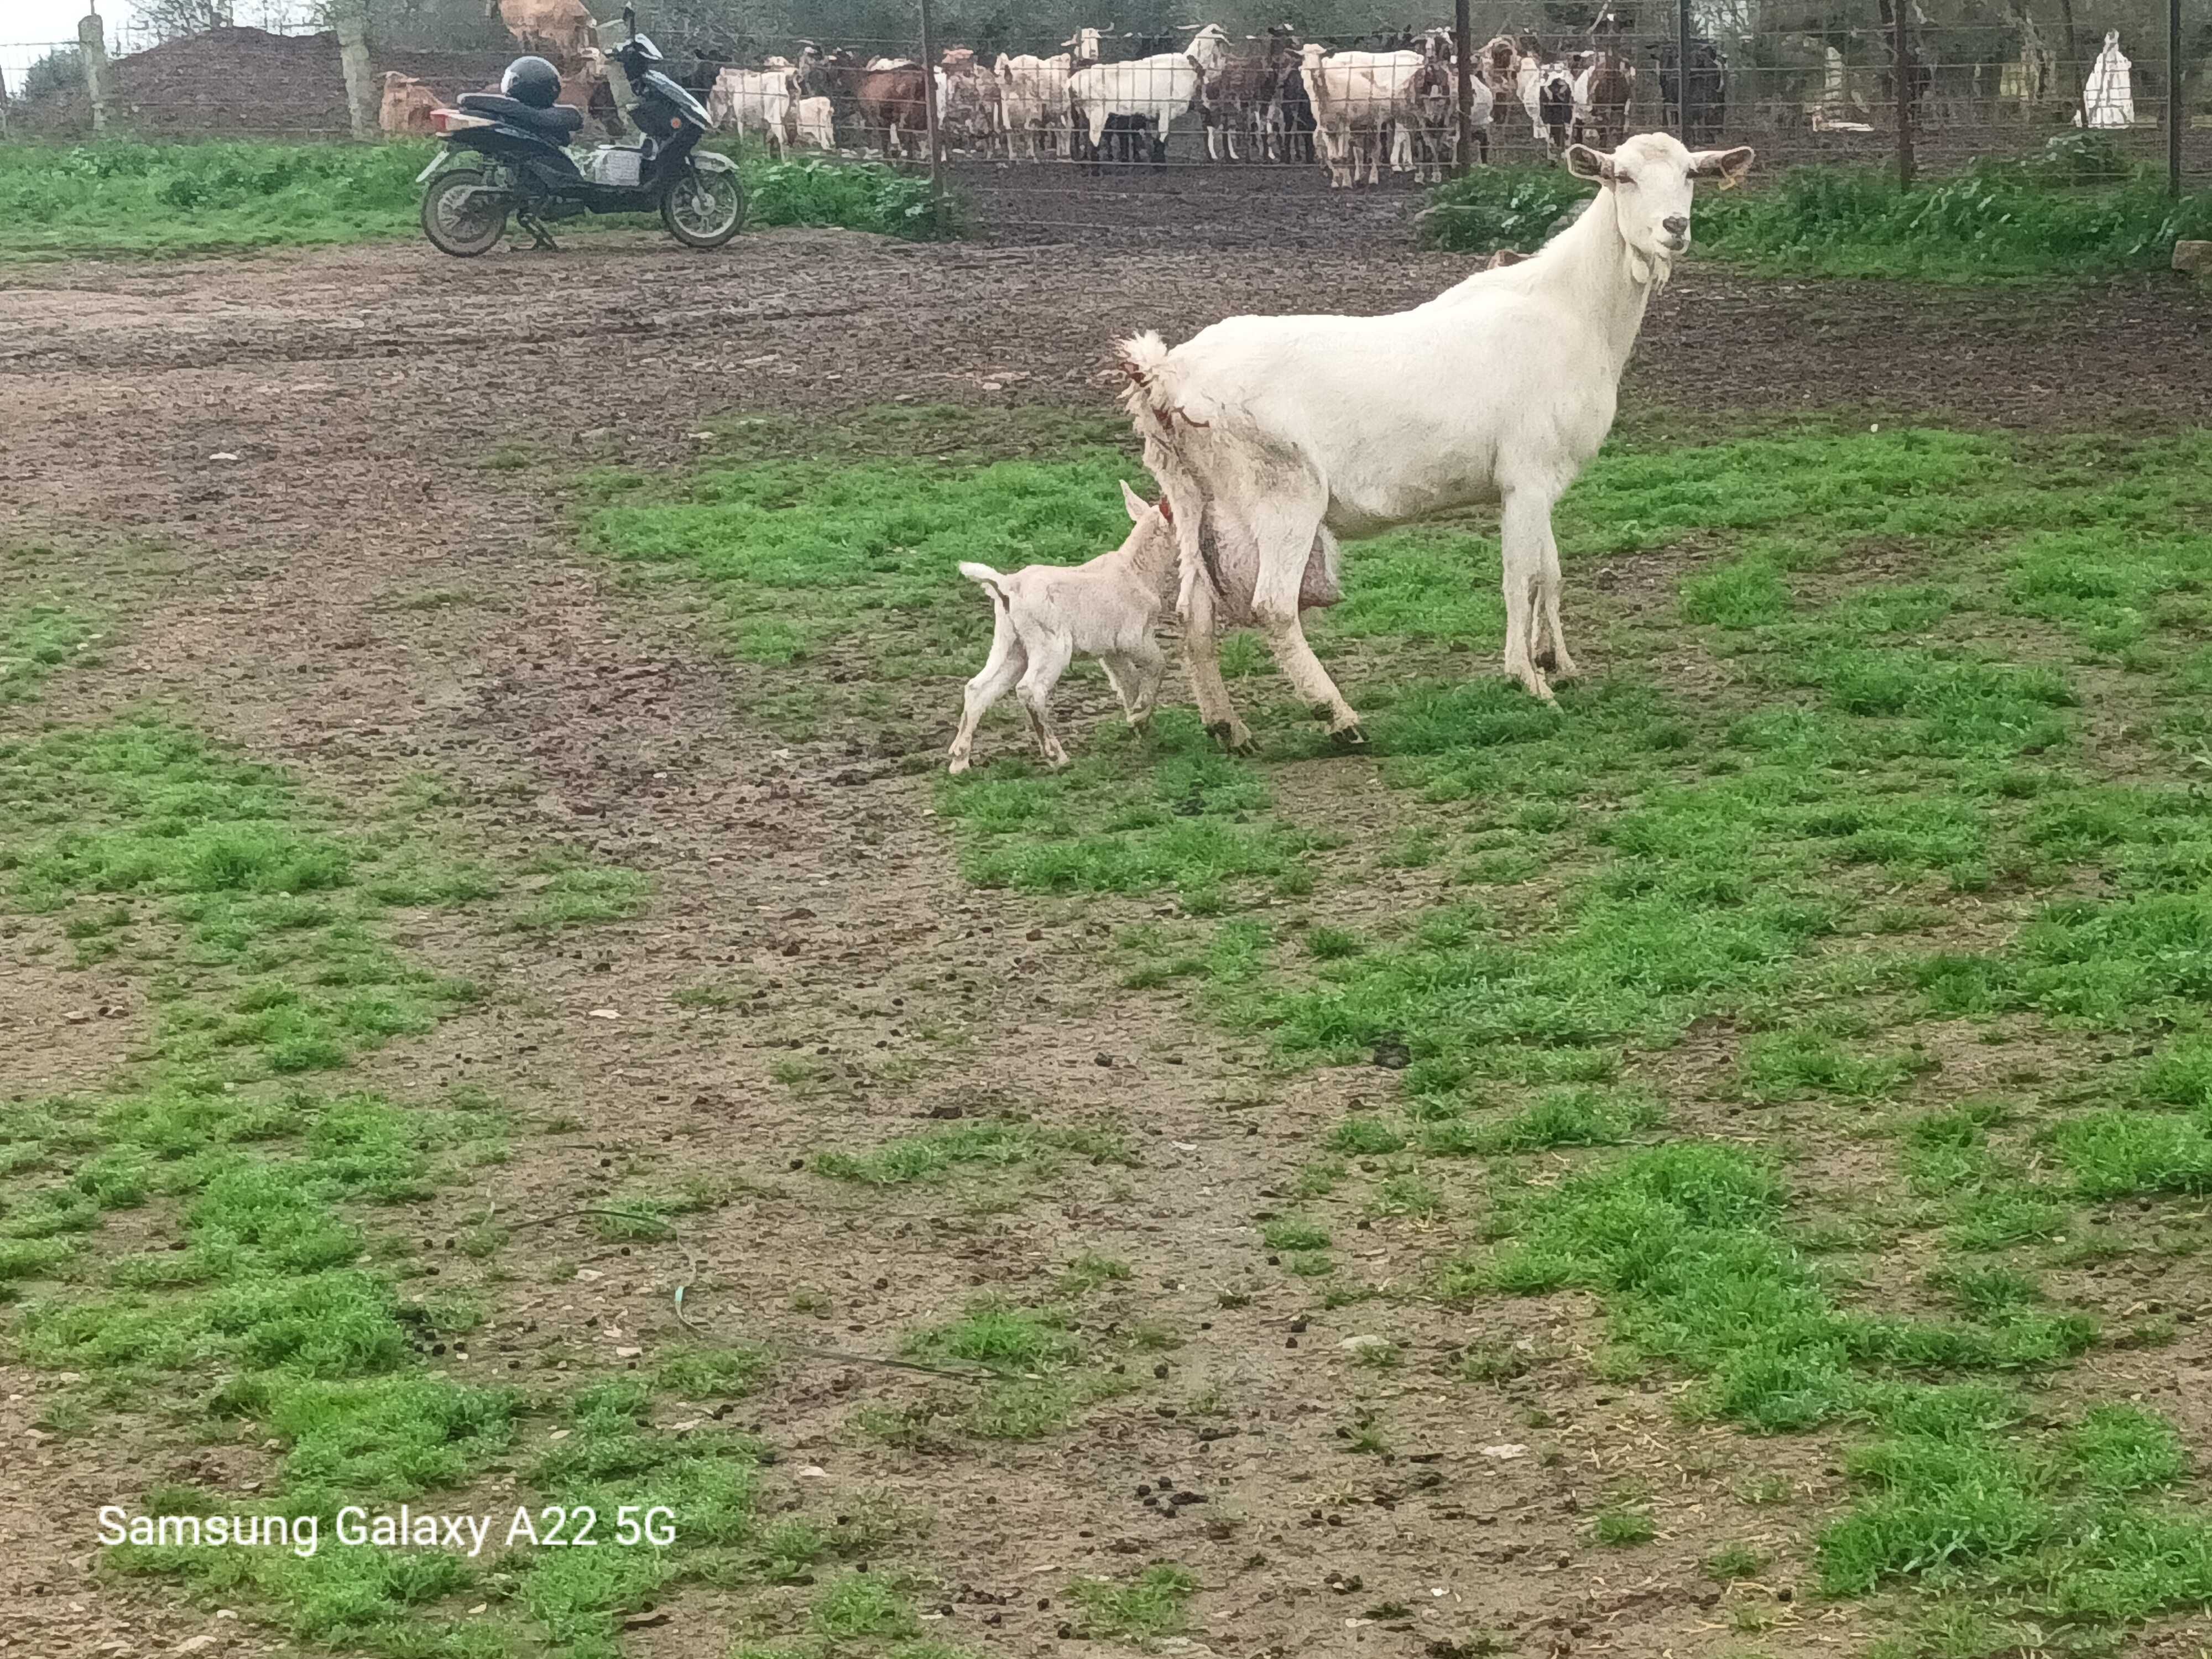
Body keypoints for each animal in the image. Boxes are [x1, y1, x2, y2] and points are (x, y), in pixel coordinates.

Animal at [1124, 133, 1761, 743]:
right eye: (1622, 176)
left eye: (1689, 174)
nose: (1674, 227)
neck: (1573, 313)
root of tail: (1167, 373)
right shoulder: (1527, 476)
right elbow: (1520, 576)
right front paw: (1527, 681)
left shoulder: (1541, 480)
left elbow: (1550, 572)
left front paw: (1560, 664)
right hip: (1282, 494)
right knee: (1273, 606)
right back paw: (1338, 718)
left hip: (1194, 499)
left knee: (1194, 611)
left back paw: (1227, 728)